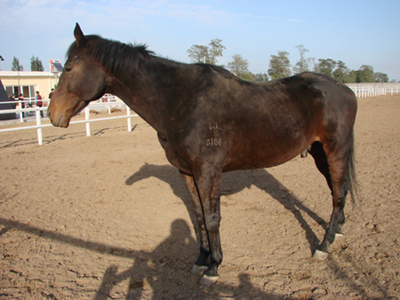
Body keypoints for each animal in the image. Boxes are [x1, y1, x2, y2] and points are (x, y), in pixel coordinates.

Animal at [48, 22, 358, 286]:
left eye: (69, 67)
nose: (53, 114)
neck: (180, 100)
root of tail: (345, 89)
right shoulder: (186, 171)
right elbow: (197, 217)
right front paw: (200, 260)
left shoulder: (208, 171)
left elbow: (212, 218)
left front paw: (214, 268)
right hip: (320, 154)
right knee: (338, 189)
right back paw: (337, 233)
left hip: (334, 150)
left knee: (337, 192)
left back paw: (323, 246)